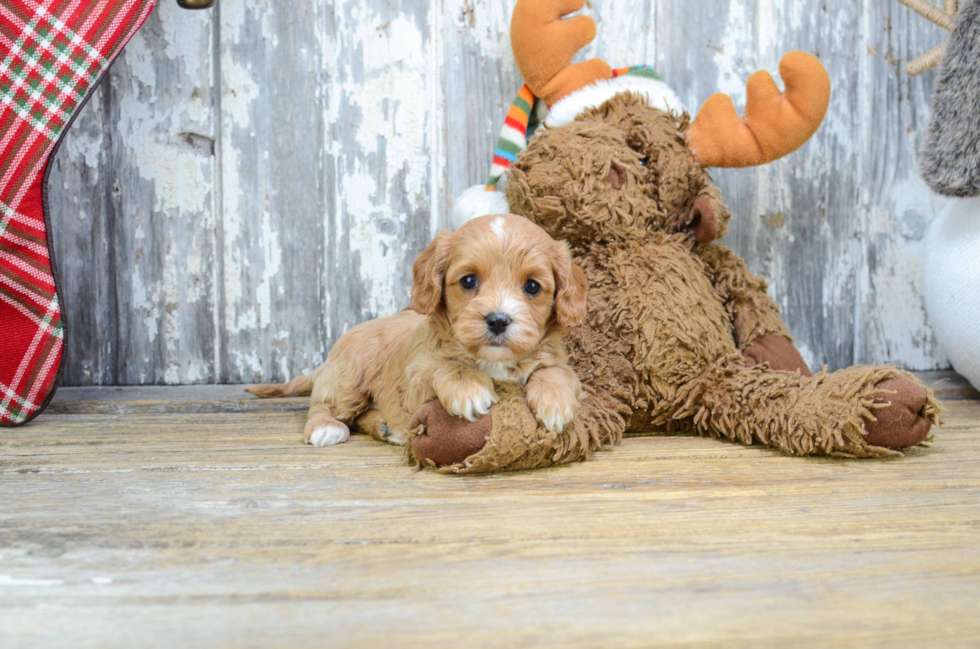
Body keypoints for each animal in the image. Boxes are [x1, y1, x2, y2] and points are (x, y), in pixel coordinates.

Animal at [245, 215, 584, 448]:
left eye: (532, 286)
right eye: (469, 281)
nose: (498, 320)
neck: (493, 361)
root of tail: (328, 361)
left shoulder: (558, 362)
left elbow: (557, 372)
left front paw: (555, 401)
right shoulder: (411, 383)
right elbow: (446, 366)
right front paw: (469, 388)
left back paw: (385, 427)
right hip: (348, 380)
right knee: (323, 406)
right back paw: (326, 428)